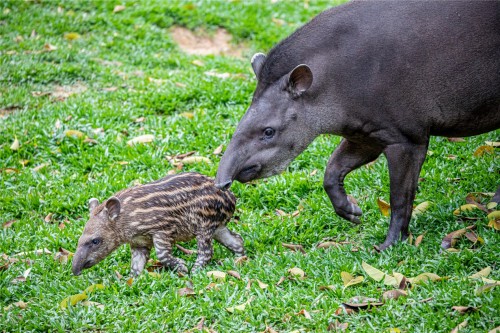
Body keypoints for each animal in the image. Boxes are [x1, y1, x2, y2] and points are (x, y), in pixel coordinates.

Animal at [71, 171, 243, 274]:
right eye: (79, 239)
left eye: (95, 241)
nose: (74, 270)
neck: (126, 219)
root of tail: (231, 197)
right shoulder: (139, 242)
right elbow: (136, 265)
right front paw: (132, 281)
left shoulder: (163, 230)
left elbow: (162, 254)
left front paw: (181, 267)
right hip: (217, 226)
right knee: (236, 239)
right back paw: (240, 259)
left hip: (204, 225)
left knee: (206, 251)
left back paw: (195, 271)